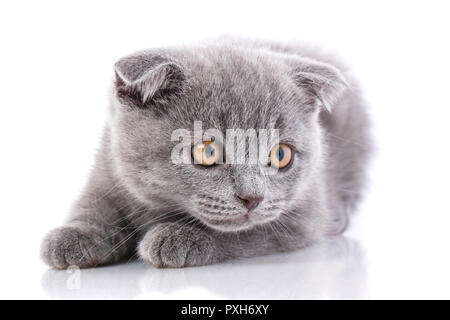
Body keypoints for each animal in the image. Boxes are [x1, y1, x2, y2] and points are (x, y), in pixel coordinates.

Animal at [41, 37, 372, 268]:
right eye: (208, 151)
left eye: (281, 155)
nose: (252, 198)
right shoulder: (109, 165)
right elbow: (95, 204)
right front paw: (74, 235)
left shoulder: (304, 214)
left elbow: (245, 232)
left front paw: (179, 237)